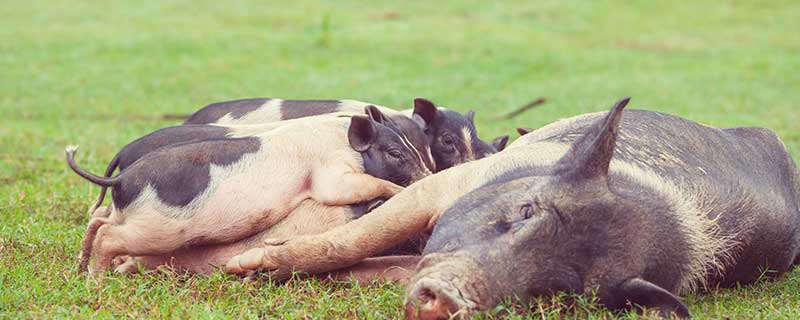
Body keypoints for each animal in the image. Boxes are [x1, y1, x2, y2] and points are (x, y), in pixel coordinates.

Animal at [67, 115, 432, 276]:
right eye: (396, 153)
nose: (429, 176)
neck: (342, 140)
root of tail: (123, 177)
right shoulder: (329, 173)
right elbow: (358, 186)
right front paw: (400, 190)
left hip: (129, 218)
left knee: (98, 223)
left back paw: (81, 265)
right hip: (154, 230)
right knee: (108, 236)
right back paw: (95, 280)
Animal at [223, 97, 800, 318]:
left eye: (558, 289)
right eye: (525, 212)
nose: (449, 299)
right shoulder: (448, 185)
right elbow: (353, 239)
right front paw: (243, 267)